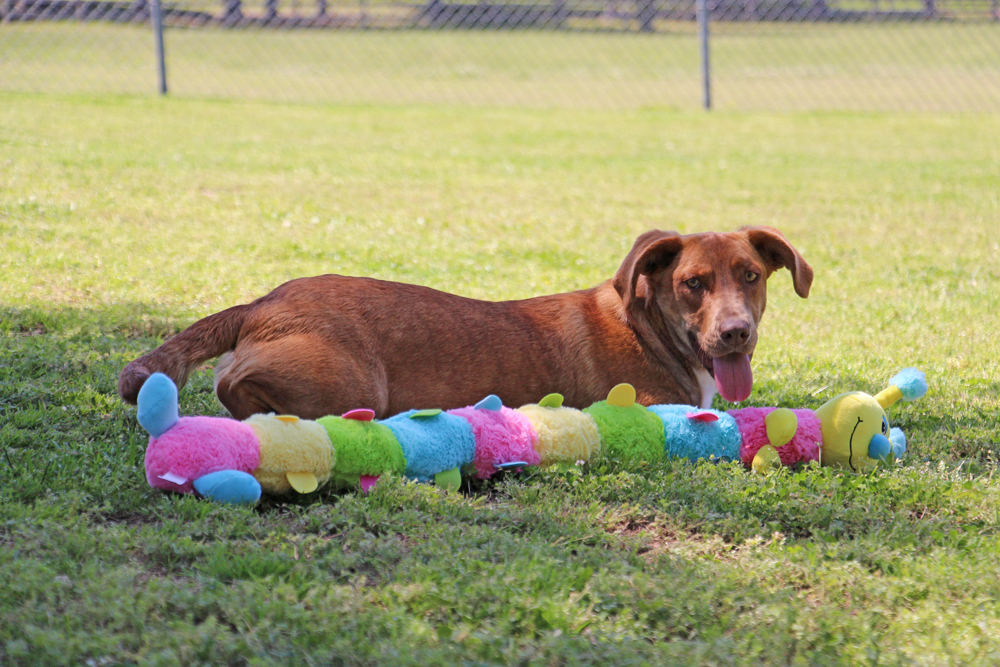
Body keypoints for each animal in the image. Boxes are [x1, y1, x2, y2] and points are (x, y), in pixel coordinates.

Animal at [119, 227, 812, 420]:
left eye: (751, 275)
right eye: (693, 283)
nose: (736, 334)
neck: (651, 330)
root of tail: (263, 302)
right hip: (353, 381)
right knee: (232, 382)